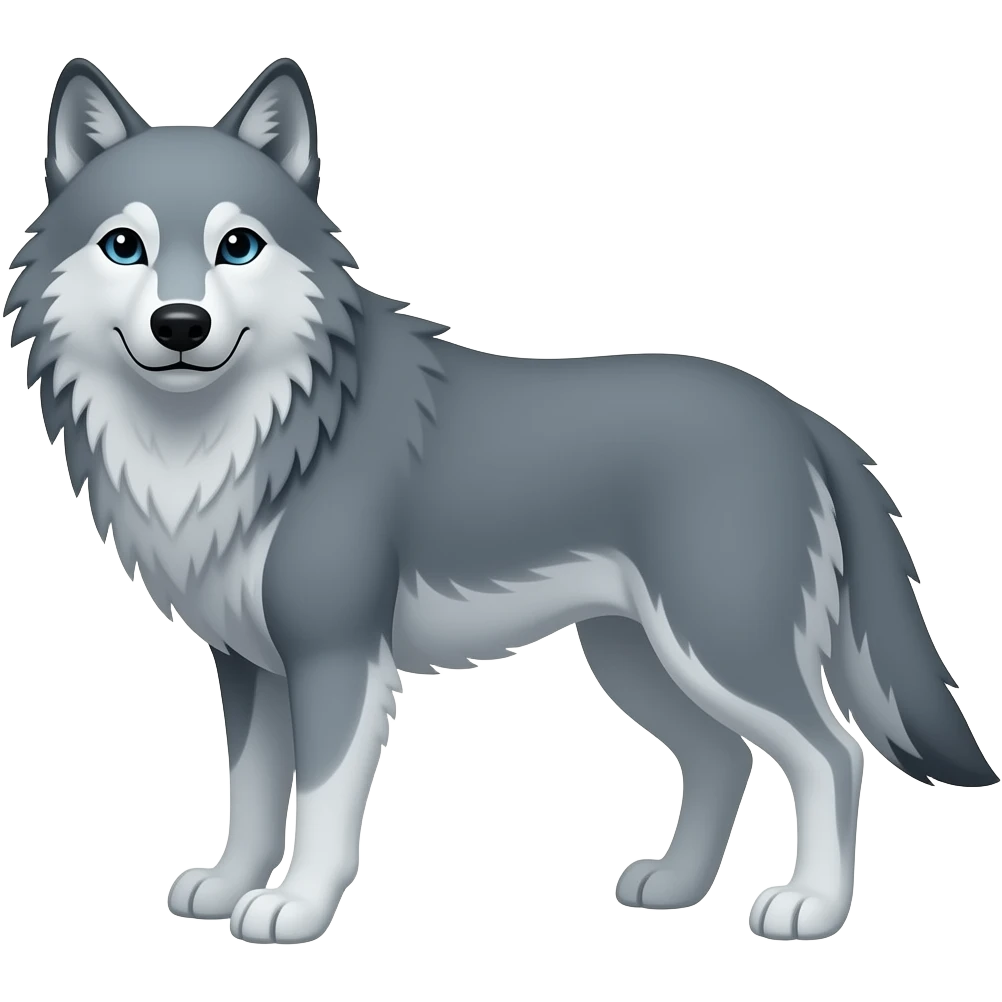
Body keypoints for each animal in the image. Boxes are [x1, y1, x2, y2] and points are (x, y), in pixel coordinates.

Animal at [5, 56, 997, 946]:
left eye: (237, 245)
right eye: (124, 245)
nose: (181, 325)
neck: (245, 431)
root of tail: (800, 417)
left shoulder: (335, 656)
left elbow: (319, 802)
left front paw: (294, 909)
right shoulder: (247, 664)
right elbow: (248, 793)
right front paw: (225, 886)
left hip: (718, 646)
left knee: (830, 754)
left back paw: (811, 908)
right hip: (636, 657)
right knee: (725, 757)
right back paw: (675, 888)